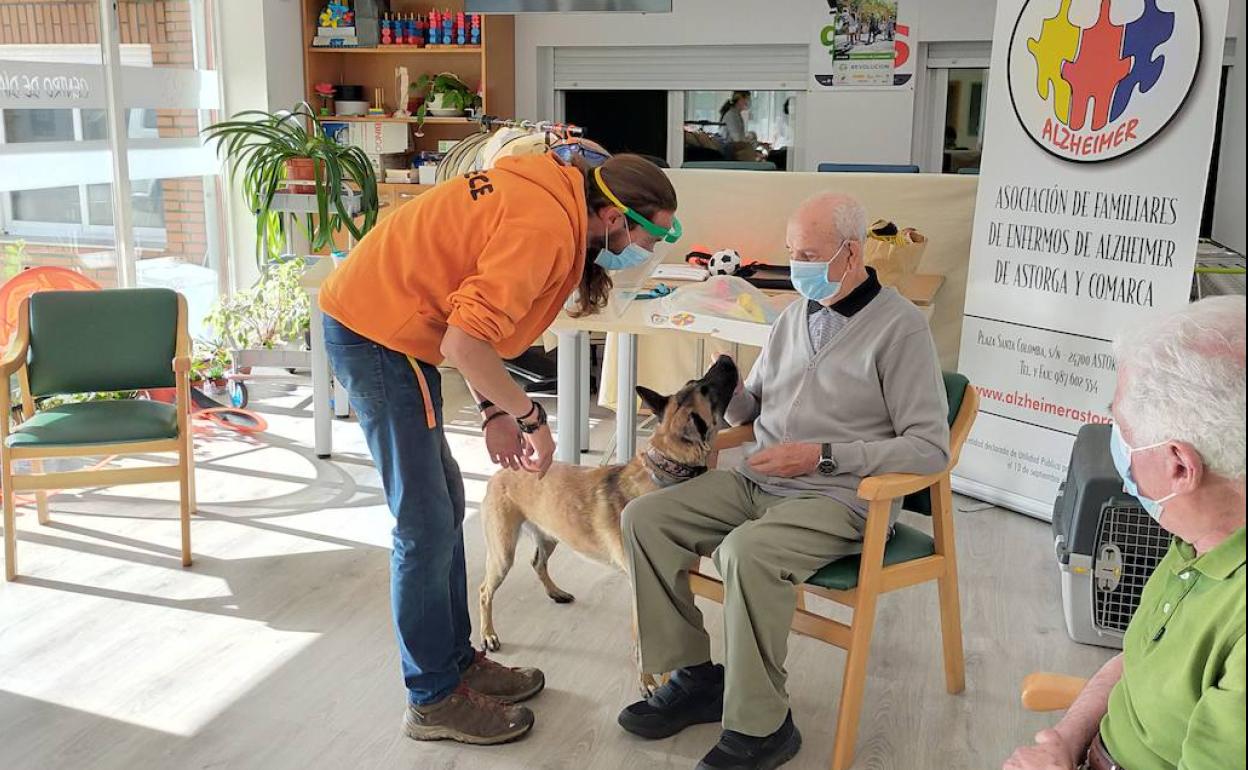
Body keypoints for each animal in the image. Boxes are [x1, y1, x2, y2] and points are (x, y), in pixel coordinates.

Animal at [471, 354, 733, 668]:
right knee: (485, 591)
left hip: (549, 536)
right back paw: (488, 634)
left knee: (537, 563)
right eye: (704, 389)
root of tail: (505, 470)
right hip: (503, 553)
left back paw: (555, 592)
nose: (726, 358)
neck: (667, 469)